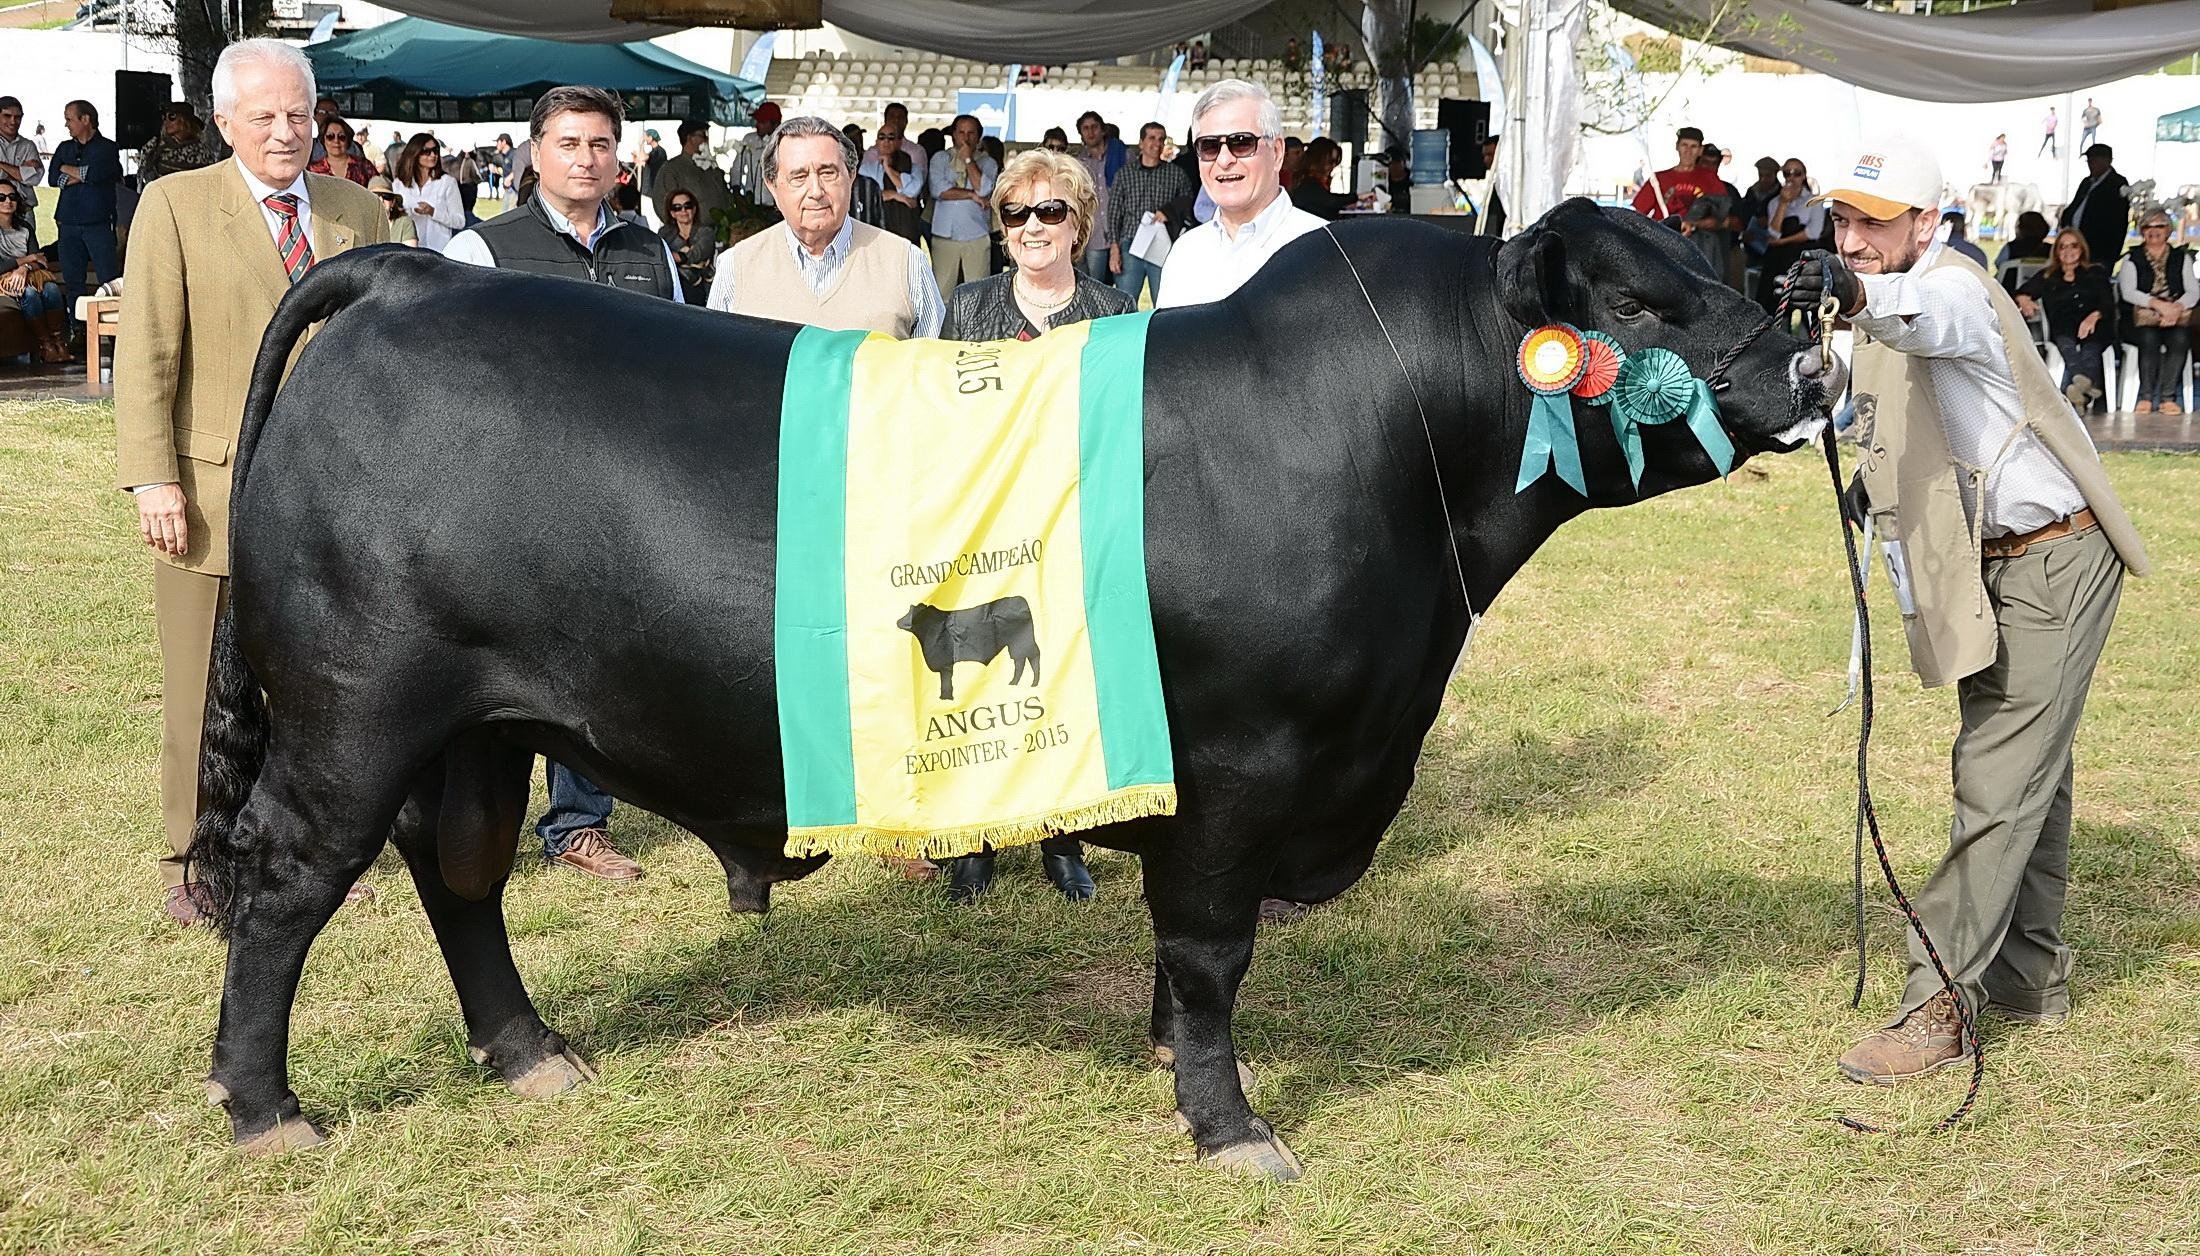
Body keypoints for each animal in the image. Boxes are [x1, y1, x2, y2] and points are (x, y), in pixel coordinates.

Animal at [897, 596, 1041, 701]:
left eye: (910, 612)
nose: (898, 621)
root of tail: (1021, 600)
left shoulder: (945, 663)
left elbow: (946, 681)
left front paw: (946, 698)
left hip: (1023, 640)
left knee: (1032, 655)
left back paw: (1034, 683)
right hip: (1015, 644)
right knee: (1020, 660)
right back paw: (1014, 682)